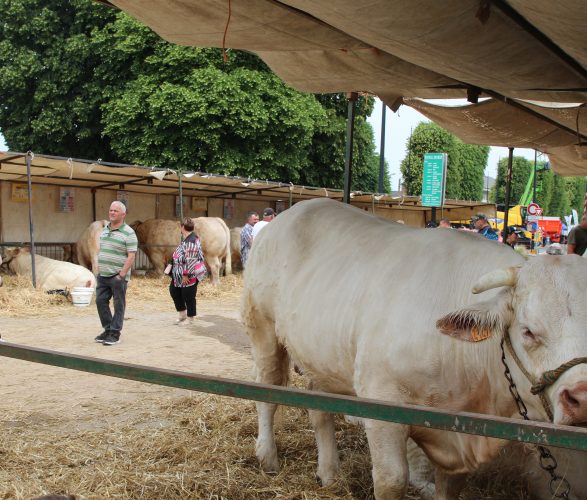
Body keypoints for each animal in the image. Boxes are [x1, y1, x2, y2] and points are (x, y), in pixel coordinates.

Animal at [240, 199, 587, 500]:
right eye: (528, 331)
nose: (582, 400)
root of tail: (294, 211)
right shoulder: (382, 401)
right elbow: (391, 480)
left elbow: (449, 488)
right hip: (262, 329)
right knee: (267, 391)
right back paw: (268, 457)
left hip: (320, 355)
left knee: (319, 409)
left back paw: (329, 473)